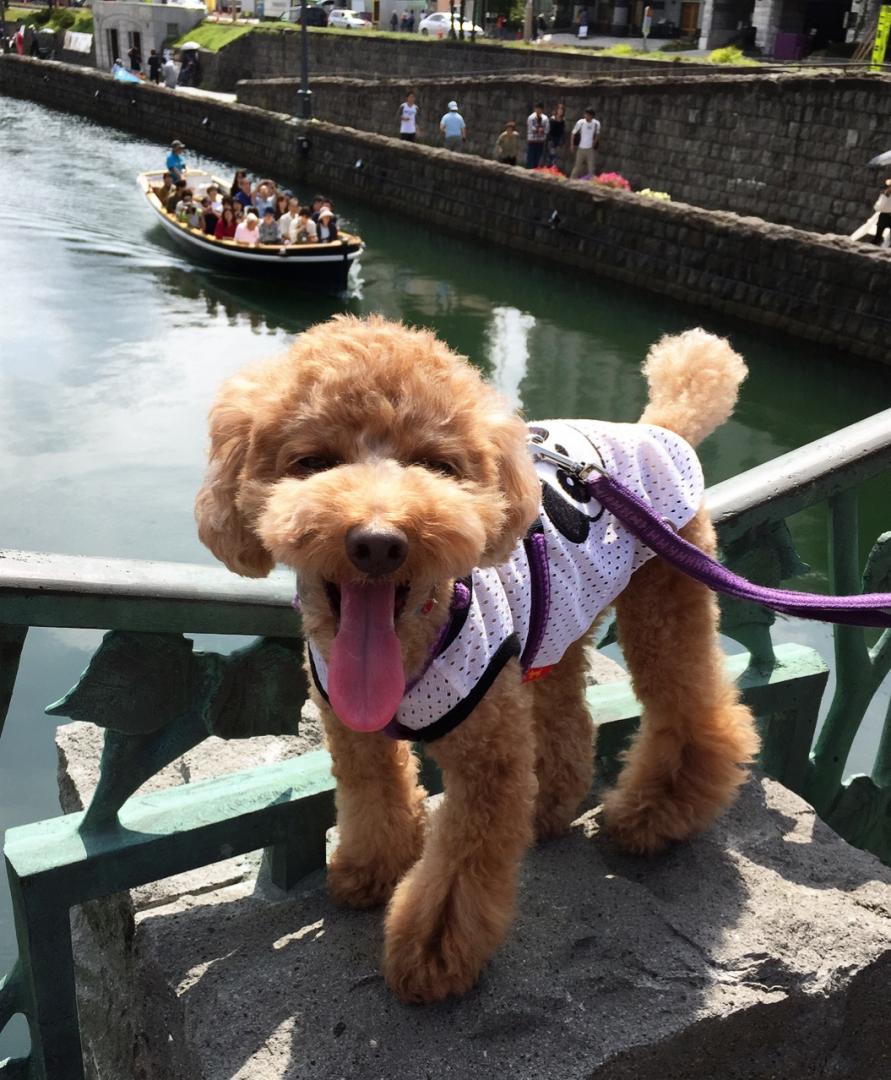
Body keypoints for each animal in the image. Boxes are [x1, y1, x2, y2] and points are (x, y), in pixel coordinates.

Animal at [195, 315, 759, 1004]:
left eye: (436, 465)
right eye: (312, 462)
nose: (378, 543)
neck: (414, 642)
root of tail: (657, 427)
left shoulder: (486, 756)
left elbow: (465, 857)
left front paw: (432, 955)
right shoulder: (354, 734)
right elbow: (374, 791)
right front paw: (372, 867)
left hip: (666, 592)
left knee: (692, 709)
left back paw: (652, 817)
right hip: (559, 622)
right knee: (567, 716)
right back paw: (551, 807)